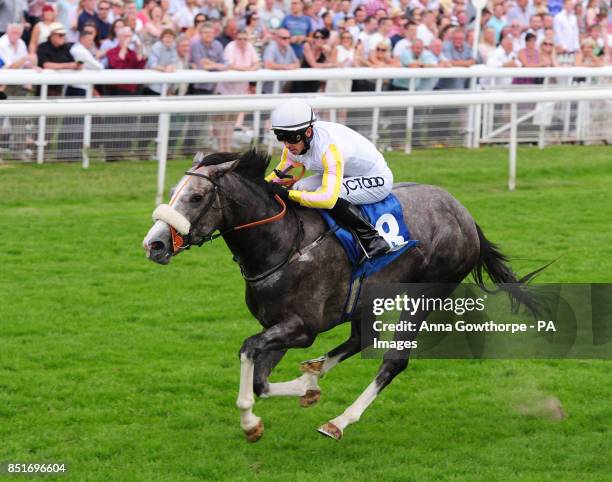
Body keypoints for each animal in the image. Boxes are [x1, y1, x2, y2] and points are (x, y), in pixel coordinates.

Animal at [142, 150, 536, 440]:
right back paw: (314, 373)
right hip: (367, 298)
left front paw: (251, 423)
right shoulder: (277, 325)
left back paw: (339, 421)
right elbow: (259, 380)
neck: (283, 243)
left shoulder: (302, 328)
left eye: (196, 197)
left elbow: (248, 349)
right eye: (173, 192)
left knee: (393, 360)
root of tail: (463, 215)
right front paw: (306, 388)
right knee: (362, 338)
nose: (154, 244)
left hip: (427, 293)